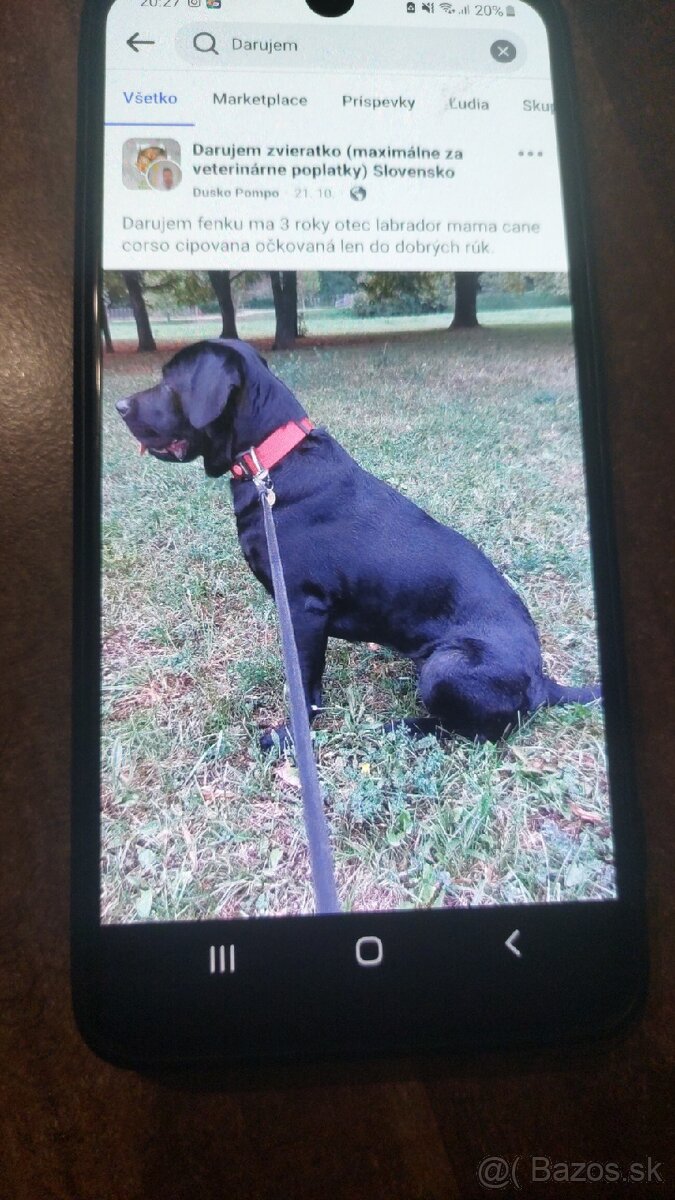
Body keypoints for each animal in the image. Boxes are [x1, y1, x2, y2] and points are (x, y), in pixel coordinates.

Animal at [115, 338, 598, 744]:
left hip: (446, 665)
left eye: (170, 383)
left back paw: (400, 728)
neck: (271, 461)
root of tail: (543, 682)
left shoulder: (304, 608)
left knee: (474, 732)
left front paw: (289, 735)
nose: (118, 405)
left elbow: (306, 683)